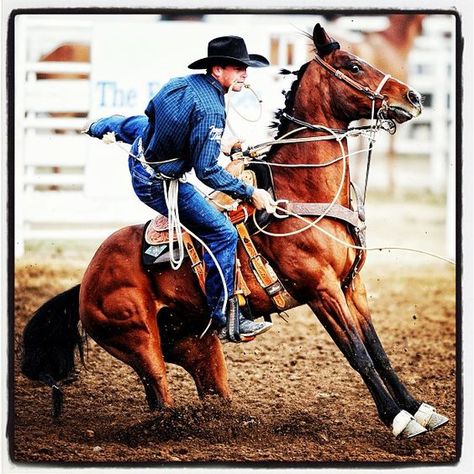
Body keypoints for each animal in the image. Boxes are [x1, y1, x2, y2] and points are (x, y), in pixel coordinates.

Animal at [21, 24, 448, 440]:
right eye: (354, 66)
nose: (413, 96)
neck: (304, 191)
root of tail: (85, 280)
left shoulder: (351, 286)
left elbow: (378, 351)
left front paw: (419, 410)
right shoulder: (320, 289)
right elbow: (358, 354)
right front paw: (397, 418)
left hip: (196, 343)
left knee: (209, 390)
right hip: (139, 341)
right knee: (159, 395)